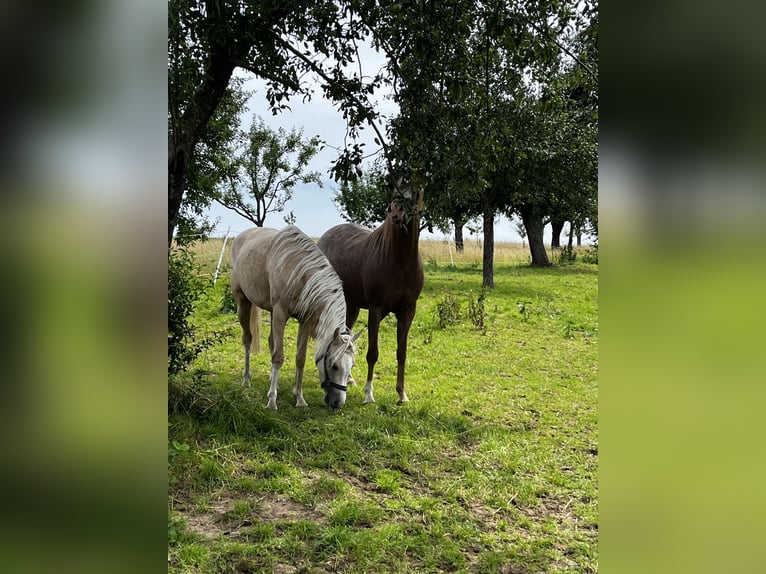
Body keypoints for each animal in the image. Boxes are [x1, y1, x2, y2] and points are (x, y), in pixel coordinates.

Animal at [230, 225, 362, 410]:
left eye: (352, 365)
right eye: (334, 366)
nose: (338, 403)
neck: (299, 272)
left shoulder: (305, 321)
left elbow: (300, 358)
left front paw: (299, 398)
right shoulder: (280, 313)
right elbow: (278, 357)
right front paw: (272, 401)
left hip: (270, 312)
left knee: (271, 342)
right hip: (243, 303)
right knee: (247, 339)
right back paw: (247, 380)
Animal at [318, 184, 426, 404]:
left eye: (415, 192)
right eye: (395, 187)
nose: (395, 212)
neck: (400, 262)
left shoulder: (408, 312)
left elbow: (401, 353)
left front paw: (402, 394)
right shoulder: (376, 310)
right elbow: (372, 353)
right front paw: (369, 394)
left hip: (351, 305)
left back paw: (349, 378)